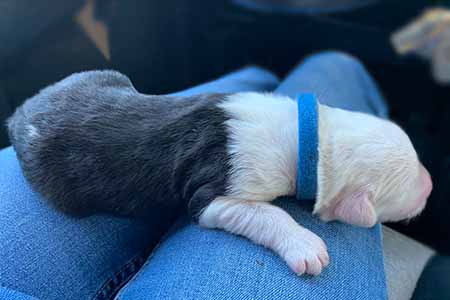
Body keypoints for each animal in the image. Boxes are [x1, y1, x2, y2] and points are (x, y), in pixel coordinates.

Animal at [5, 71, 430, 276]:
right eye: (407, 189)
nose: (430, 184)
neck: (305, 135)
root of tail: (19, 115)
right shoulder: (214, 194)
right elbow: (268, 214)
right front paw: (306, 246)